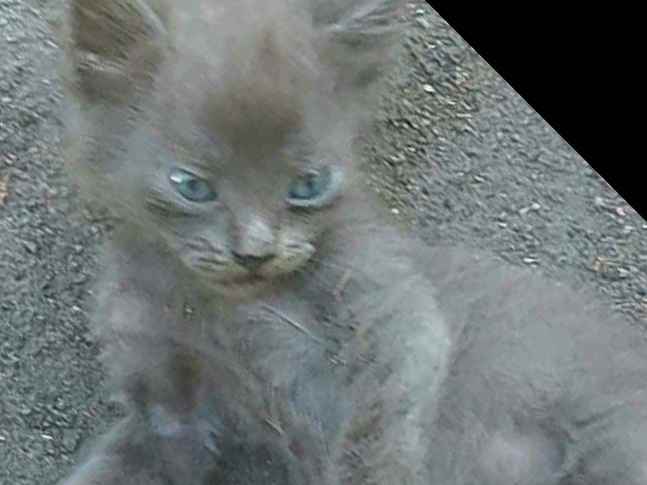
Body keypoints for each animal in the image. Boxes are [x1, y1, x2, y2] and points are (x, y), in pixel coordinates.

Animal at [57, 0, 647, 484]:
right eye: (192, 186)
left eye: (307, 185)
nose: (255, 252)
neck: (226, 310)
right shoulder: (170, 413)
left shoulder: (387, 305)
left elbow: (381, 418)